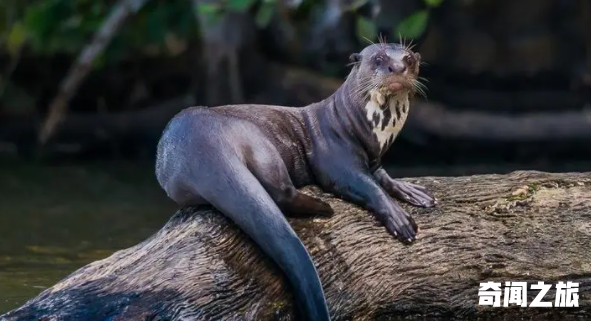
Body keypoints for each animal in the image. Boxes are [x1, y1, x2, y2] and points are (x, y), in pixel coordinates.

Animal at [155, 42, 438, 320]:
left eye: (409, 58)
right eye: (378, 58)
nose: (398, 67)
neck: (358, 125)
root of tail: (202, 144)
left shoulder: (375, 158)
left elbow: (383, 177)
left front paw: (413, 192)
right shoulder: (335, 159)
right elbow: (367, 185)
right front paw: (399, 219)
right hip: (257, 140)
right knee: (281, 192)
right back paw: (324, 208)